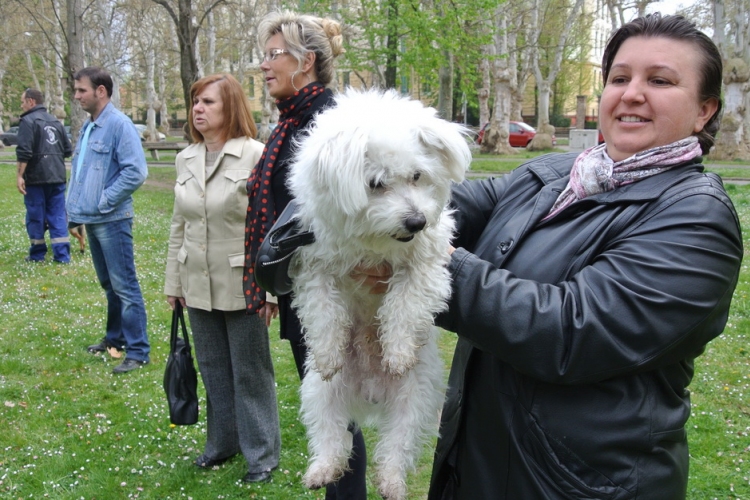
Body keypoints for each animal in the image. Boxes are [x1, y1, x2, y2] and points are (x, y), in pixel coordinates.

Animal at [288, 88, 470, 498]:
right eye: (376, 183)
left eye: (417, 176)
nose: (416, 221)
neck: (374, 242)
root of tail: (370, 393)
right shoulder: (313, 263)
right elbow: (323, 309)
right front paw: (326, 351)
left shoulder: (426, 263)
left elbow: (405, 303)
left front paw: (398, 350)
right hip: (322, 394)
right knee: (331, 436)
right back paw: (323, 469)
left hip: (414, 399)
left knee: (397, 445)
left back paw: (391, 481)